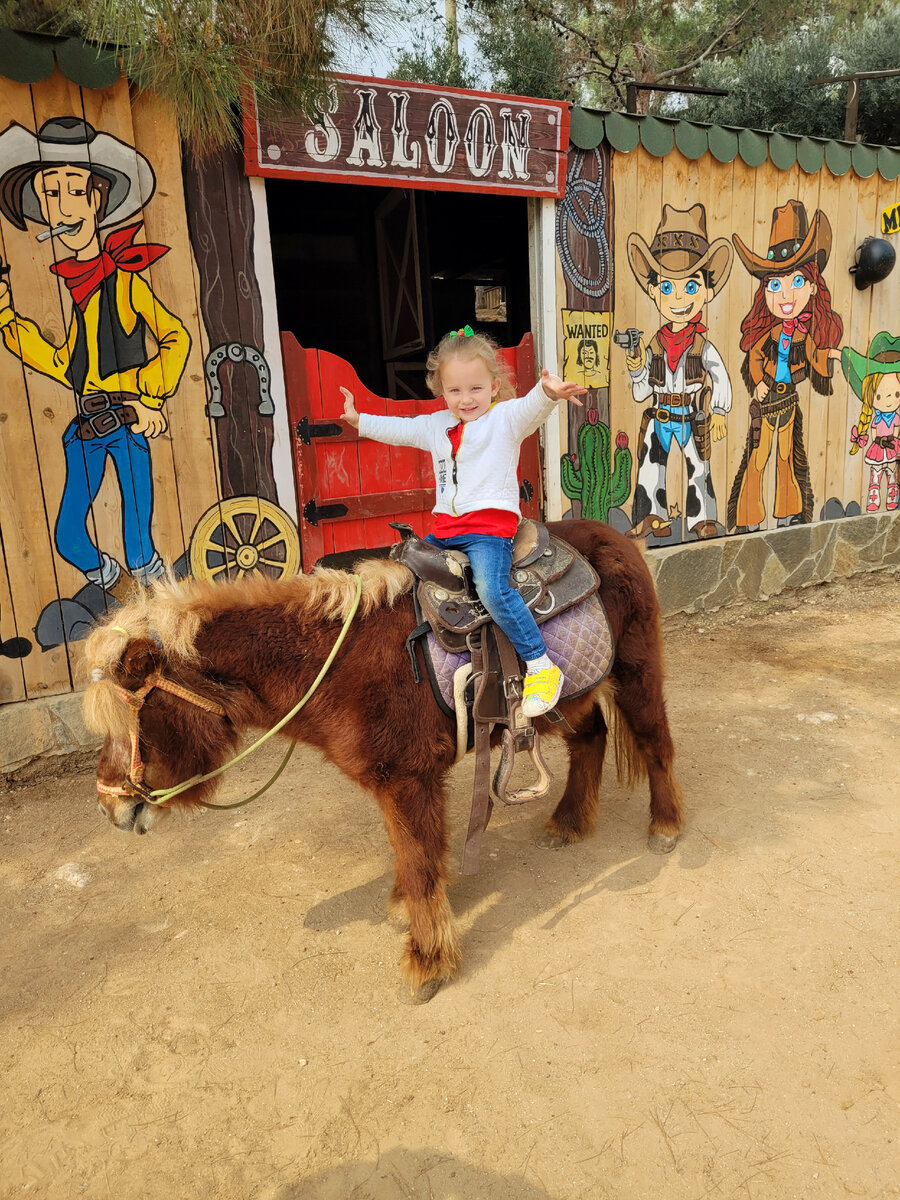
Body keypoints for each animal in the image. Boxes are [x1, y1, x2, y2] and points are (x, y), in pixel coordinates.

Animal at [82, 520, 681, 998]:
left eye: (133, 718)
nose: (110, 807)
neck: (337, 662)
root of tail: (616, 537)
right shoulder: (400, 783)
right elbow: (414, 853)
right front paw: (410, 912)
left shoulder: (407, 779)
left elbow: (417, 862)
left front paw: (428, 962)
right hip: (572, 700)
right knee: (592, 738)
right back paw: (569, 822)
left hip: (635, 672)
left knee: (655, 743)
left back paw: (666, 826)